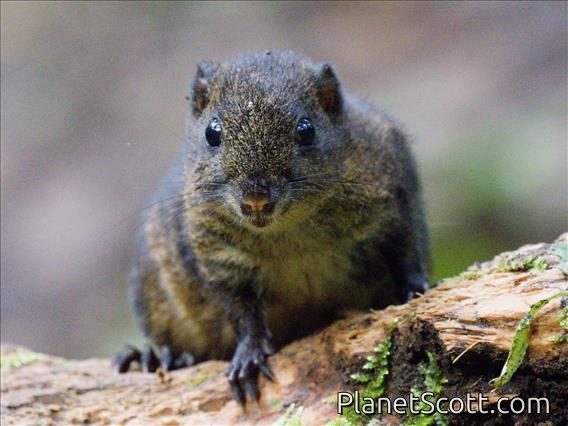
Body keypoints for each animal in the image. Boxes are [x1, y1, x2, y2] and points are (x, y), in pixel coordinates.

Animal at [113, 51, 430, 406]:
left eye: (306, 130)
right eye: (212, 132)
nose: (256, 198)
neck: (290, 234)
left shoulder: (394, 189)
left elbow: (407, 251)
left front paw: (418, 291)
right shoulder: (219, 259)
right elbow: (241, 311)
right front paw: (249, 356)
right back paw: (152, 357)